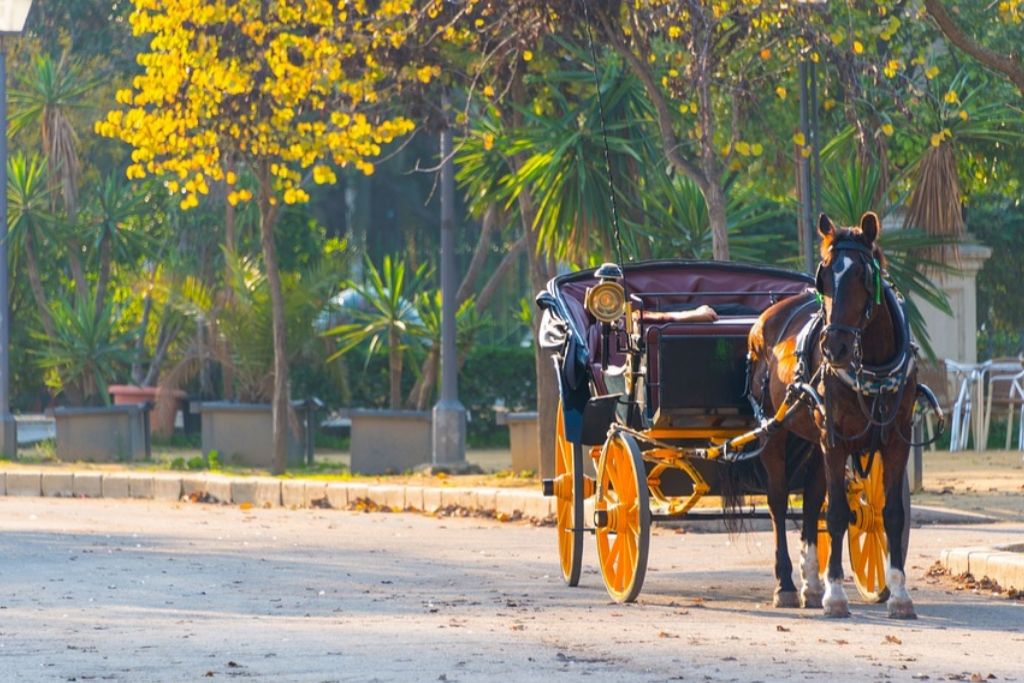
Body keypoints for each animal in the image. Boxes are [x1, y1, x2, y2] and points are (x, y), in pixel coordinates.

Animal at [745, 211, 921, 618]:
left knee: (811, 503)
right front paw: (836, 594)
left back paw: (811, 584)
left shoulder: (896, 439)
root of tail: (766, 318)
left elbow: (892, 514)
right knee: (778, 502)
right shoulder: (836, 438)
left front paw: (899, 595)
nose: (833, 347)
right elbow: (838, 514)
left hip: (813, 441)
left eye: (863, 276)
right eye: (823, 277)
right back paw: (787, 584)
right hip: (776, 433)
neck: (872, 366)